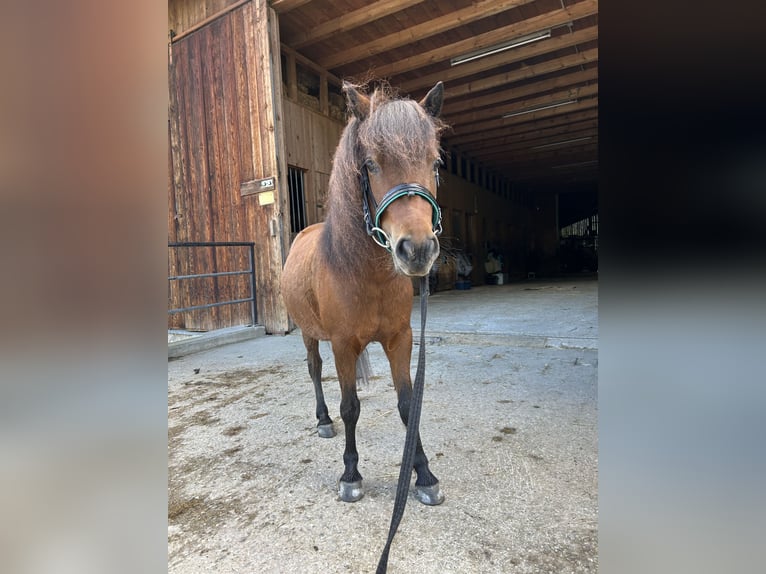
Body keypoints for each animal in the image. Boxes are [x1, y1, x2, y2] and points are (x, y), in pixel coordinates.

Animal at [280, 82, 450, 508]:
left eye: (436, 163)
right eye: (371, 164)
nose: (418, 250)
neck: (363, 272)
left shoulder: (400, 339)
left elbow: (408, 405)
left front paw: (423, 474)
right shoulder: (342, 343)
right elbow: (350, 407)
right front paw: (351, 475)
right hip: (309, 335)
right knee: (315, 371)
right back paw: (324, 420)